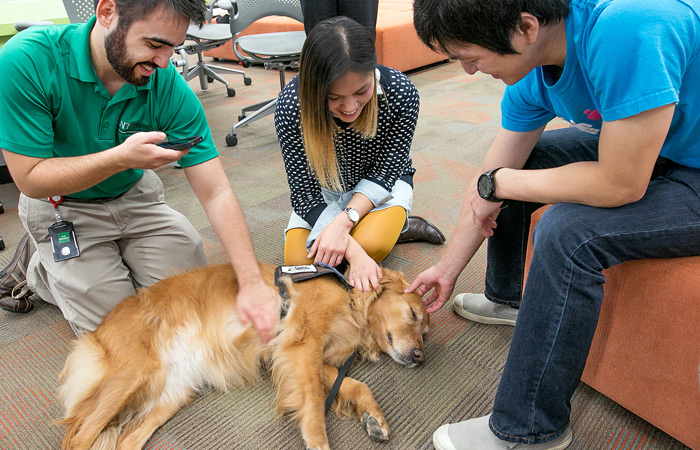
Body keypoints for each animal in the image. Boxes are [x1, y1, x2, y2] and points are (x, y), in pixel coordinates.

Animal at [58, 262, 432, 448]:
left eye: (425, 333)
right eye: (413, 314)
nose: (419, 356)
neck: (349, 301)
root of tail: (97, 332)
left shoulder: (291, 354)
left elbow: (355, 386)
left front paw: (373, 418)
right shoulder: (301, 344)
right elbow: (313, 403)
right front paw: (318, 442)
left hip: (172, 393)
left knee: (126, 441)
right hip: (131, 376)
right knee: (79, 438)